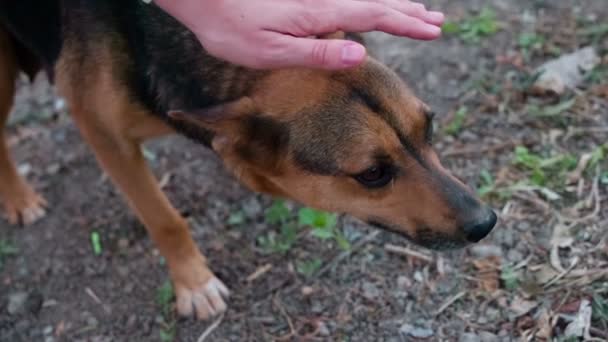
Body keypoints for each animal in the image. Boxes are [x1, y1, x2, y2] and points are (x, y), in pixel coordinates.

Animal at [0, 1, 496, 320]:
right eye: (373, 173)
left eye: (428, 128)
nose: (486, 223)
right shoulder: (103, 134)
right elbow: (163, 218)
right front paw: (193, 283)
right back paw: (19, 198)